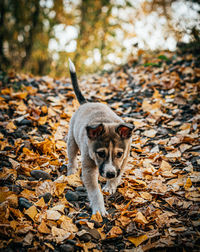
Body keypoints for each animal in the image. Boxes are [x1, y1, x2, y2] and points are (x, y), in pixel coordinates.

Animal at [66, 58, 134, 216]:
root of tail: (86, 103)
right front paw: (99, 209)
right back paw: (71, 172)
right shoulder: (88, 168)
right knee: (71, 158)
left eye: (119, 154)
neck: (106, 123)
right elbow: (95, 192)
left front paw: (111, 186)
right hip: (71, 141)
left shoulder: (125, 157)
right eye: (101, 153)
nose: (110, 174)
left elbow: (119, 174)